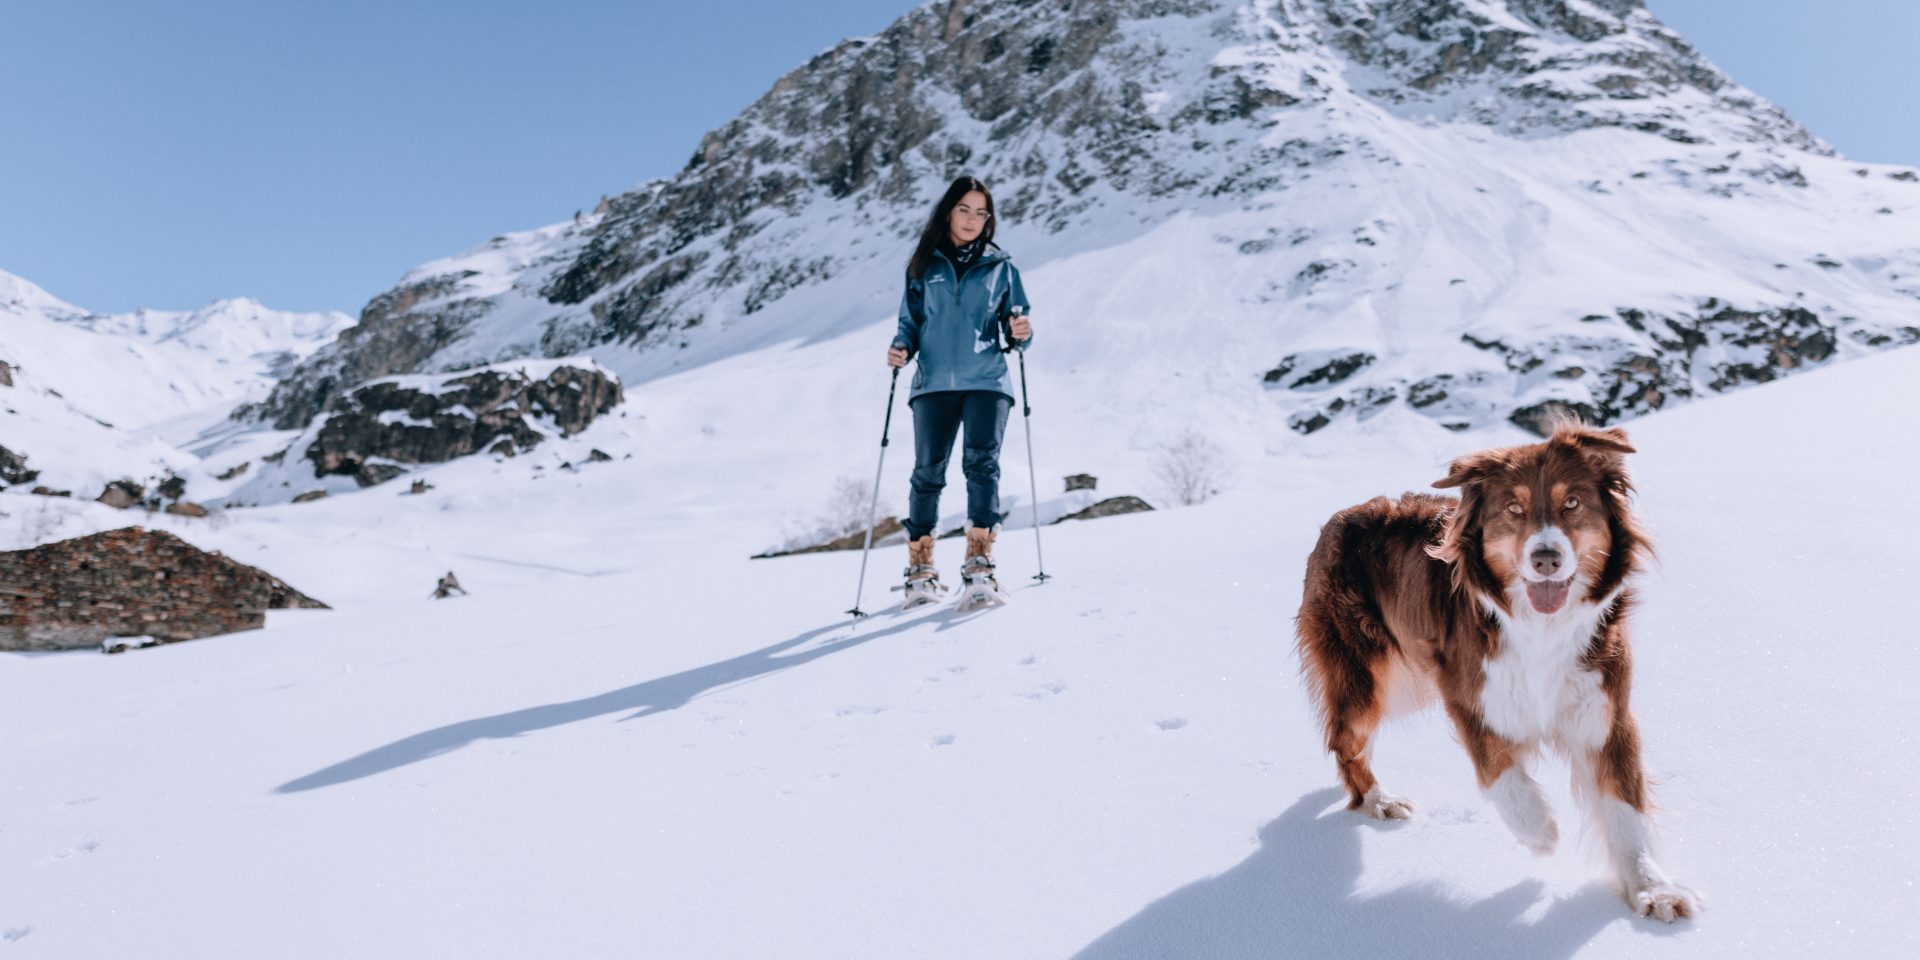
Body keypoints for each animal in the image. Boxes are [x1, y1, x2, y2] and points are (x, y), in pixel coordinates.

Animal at [1305, 424, 1697, 917]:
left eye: (1573, 503)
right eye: (1514, 509)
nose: (1545, 558)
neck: (1542, 627)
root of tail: (1338, 518)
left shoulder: (1605, 709)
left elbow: (1624, 810)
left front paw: (1652, 890)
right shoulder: (1469, 692)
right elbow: (1500, 771)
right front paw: (1540, 830)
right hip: (1374, 677)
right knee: (1346, 737)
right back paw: (1379, 801)